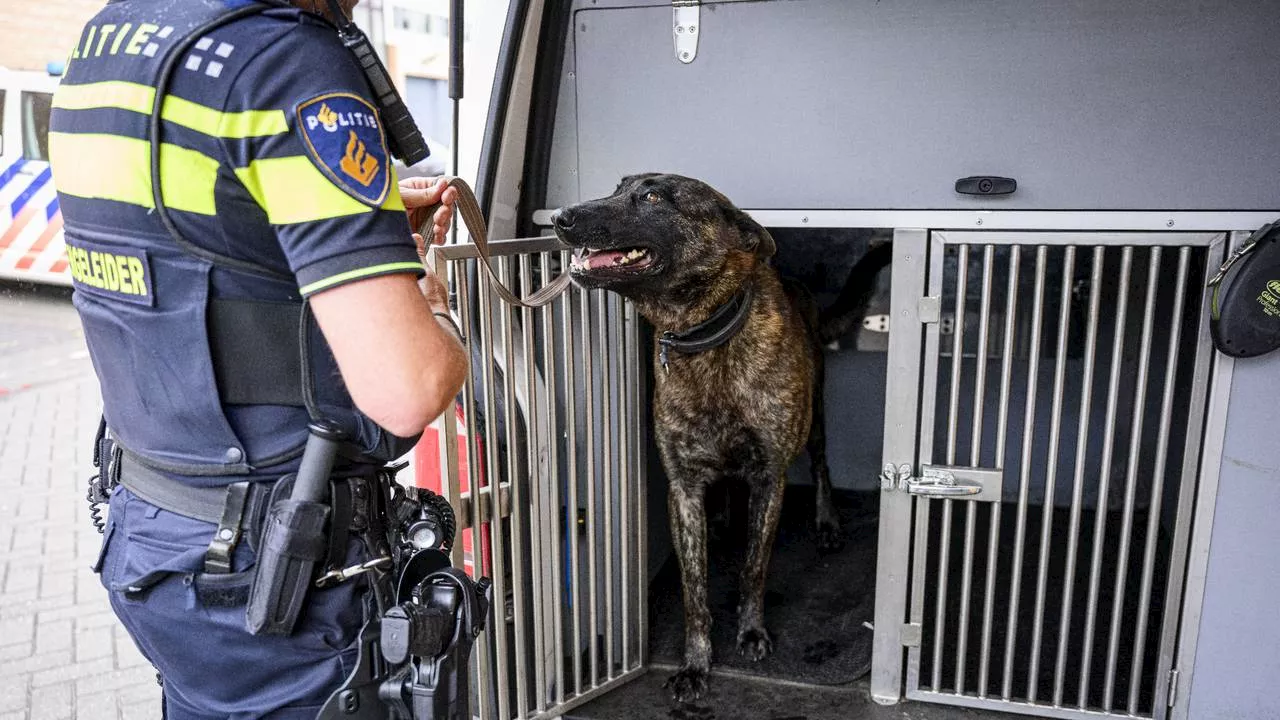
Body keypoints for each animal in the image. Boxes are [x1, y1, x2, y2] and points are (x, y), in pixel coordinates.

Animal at [550, 170, 890, 696]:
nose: (559, 217)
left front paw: (750, 632)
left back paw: (827, 522)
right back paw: (727, 518)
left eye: (652, 196)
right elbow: (694, 589)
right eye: (617, 187)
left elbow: (753, 567)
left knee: (821, 464)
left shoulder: (769, 480)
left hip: (815, 418)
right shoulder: (684, 489)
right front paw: (695, 662)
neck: (705, 337)